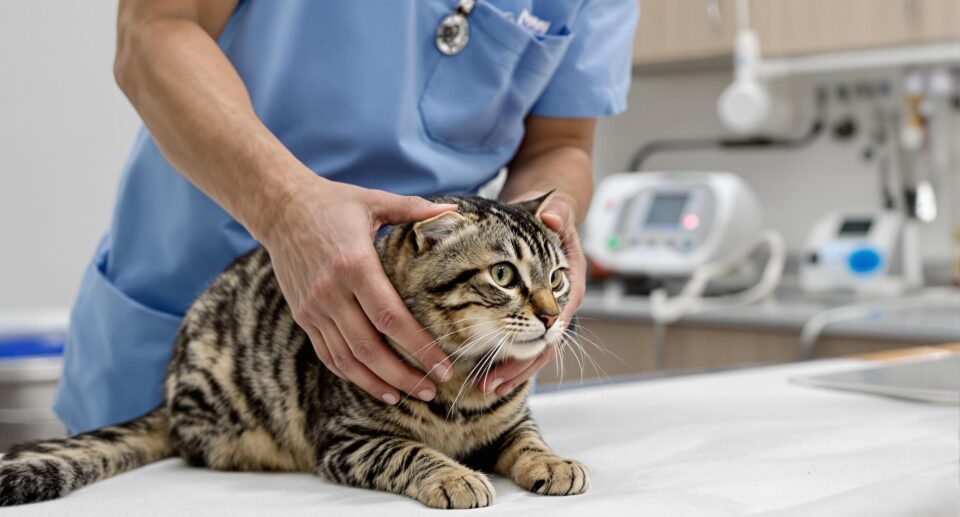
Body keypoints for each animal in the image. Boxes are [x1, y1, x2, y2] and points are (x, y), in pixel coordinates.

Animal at [0, 194, 584, 508]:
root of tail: (168, 395)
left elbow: (527, 439)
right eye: (503, 275)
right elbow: (410, 451)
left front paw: (554, 463)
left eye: (558, 278)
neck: (463, 381)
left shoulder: (512, 420)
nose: (552, 316)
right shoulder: (349, 439)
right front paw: (454, 475)